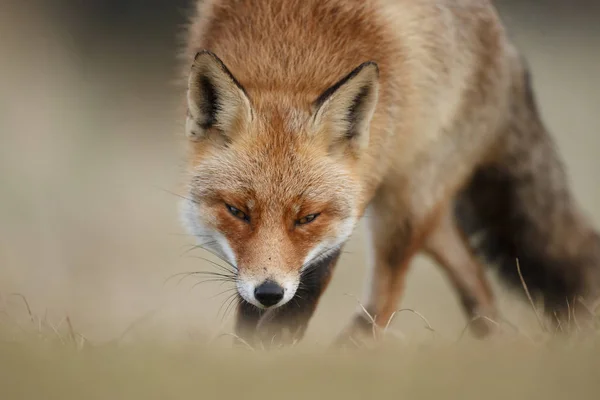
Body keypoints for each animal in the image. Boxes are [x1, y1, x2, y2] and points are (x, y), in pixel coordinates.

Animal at [178, 0, 600, 346]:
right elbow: (250, 312)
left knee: (388, 293)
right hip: (420, 211)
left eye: (309, 217)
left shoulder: (353, 199)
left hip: (405, 205)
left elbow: (307, 290)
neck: (288, 62)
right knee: (473, 273)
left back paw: (351, 353)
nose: (269, 293)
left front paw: (275, 350)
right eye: (237, 212)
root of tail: (506, 43)